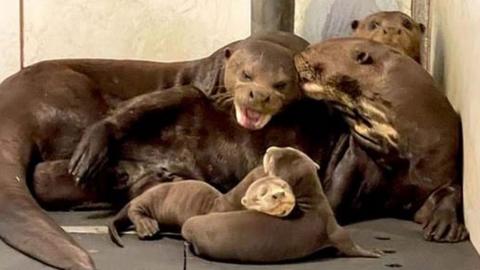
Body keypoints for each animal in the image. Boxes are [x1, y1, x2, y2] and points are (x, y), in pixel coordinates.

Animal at [109, 174, 296, 248]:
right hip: (149, 199)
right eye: (263, 193)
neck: (226, 204)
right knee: (134, 209)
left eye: (283, 185)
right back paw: (147, 227)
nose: (280, 194)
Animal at [182, 147, 380, 262]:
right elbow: (345, 239)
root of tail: (187, 227)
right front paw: (372, 253)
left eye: (274, 156)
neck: (312, 202)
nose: (269, 148)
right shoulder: (331, 225)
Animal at [294, 37, 466, 243]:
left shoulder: (441, 163)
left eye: (316, 49)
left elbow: (453, 190)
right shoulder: (356, 155)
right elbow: (338, 185)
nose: (297, 55)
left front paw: (445, 226)